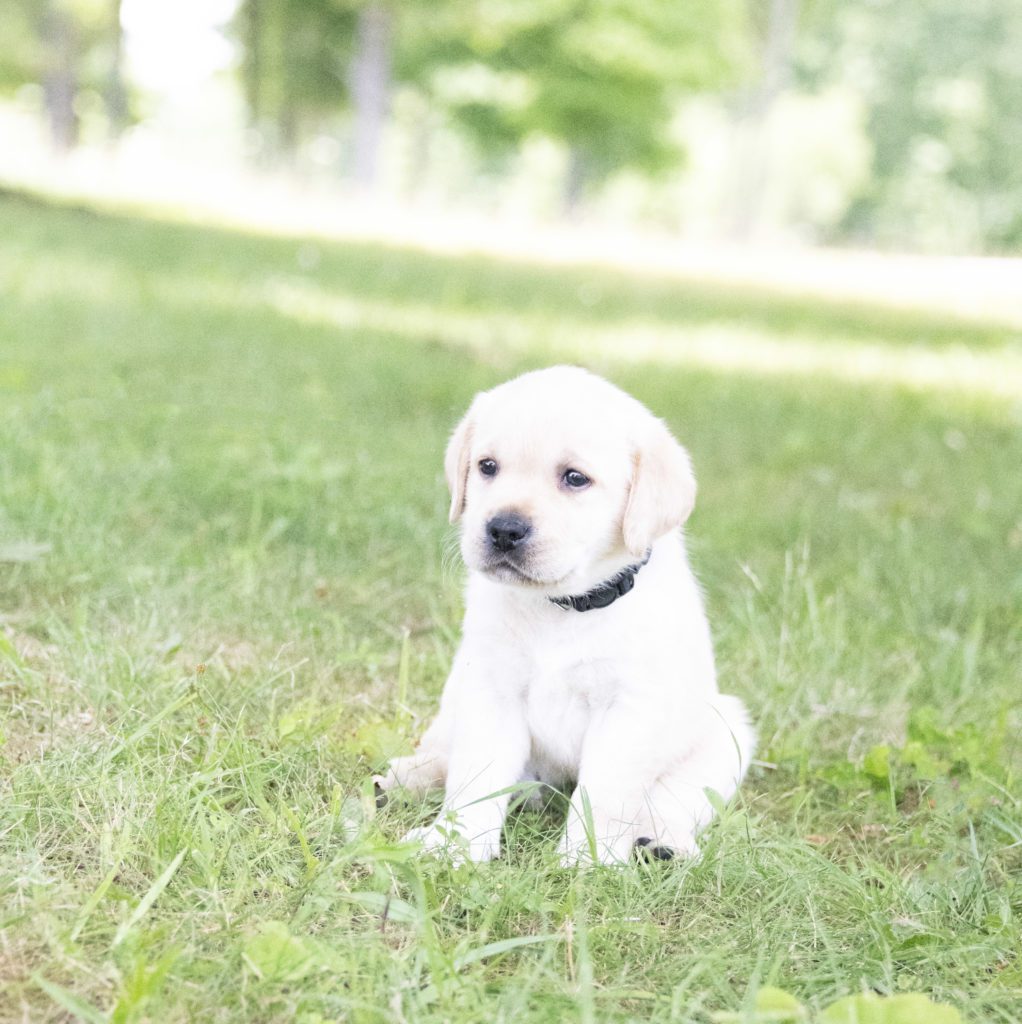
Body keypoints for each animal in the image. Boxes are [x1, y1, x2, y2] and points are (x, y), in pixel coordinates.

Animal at [380, 368, 757, 864]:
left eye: (575, 478)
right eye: (487, 466)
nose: (503, 529)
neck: (561, 606)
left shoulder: (629, 709)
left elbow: (603, 794)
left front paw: (586, 860)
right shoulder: (491, 690)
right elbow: (476, 776)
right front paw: (456, 845)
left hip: (725, 731)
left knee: (676, 798)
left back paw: (662, 841)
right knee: (444, 751)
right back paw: (407, 778)